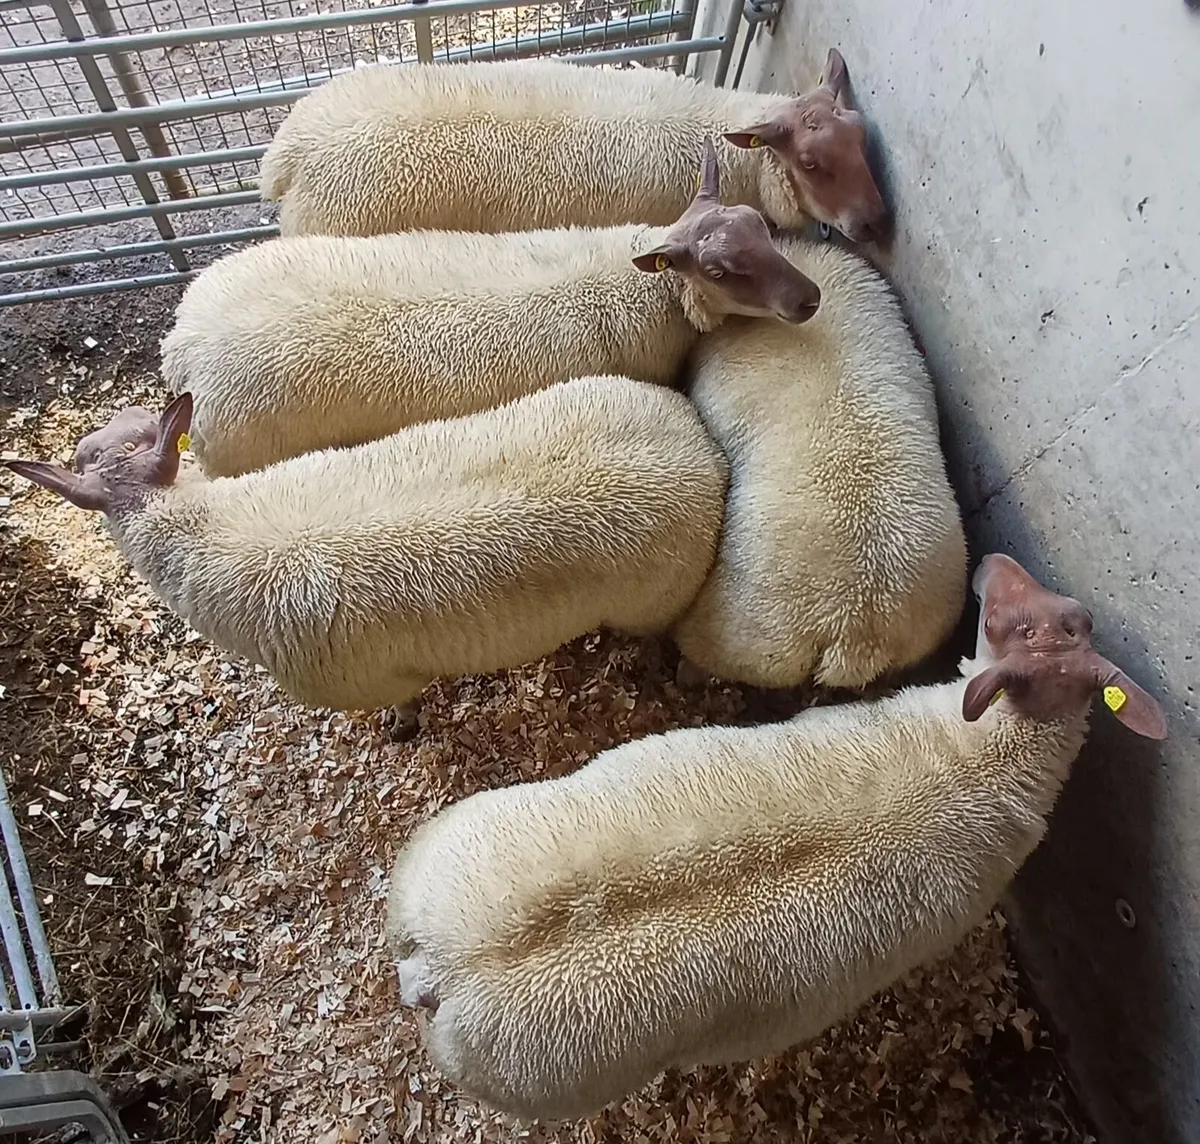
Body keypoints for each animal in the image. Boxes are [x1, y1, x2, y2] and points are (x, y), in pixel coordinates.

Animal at [3, 378, 728, 729]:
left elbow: (400, 705)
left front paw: (403, 726)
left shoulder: (368, 679)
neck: (204, 530)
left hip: (654, 600)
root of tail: (700, 443)